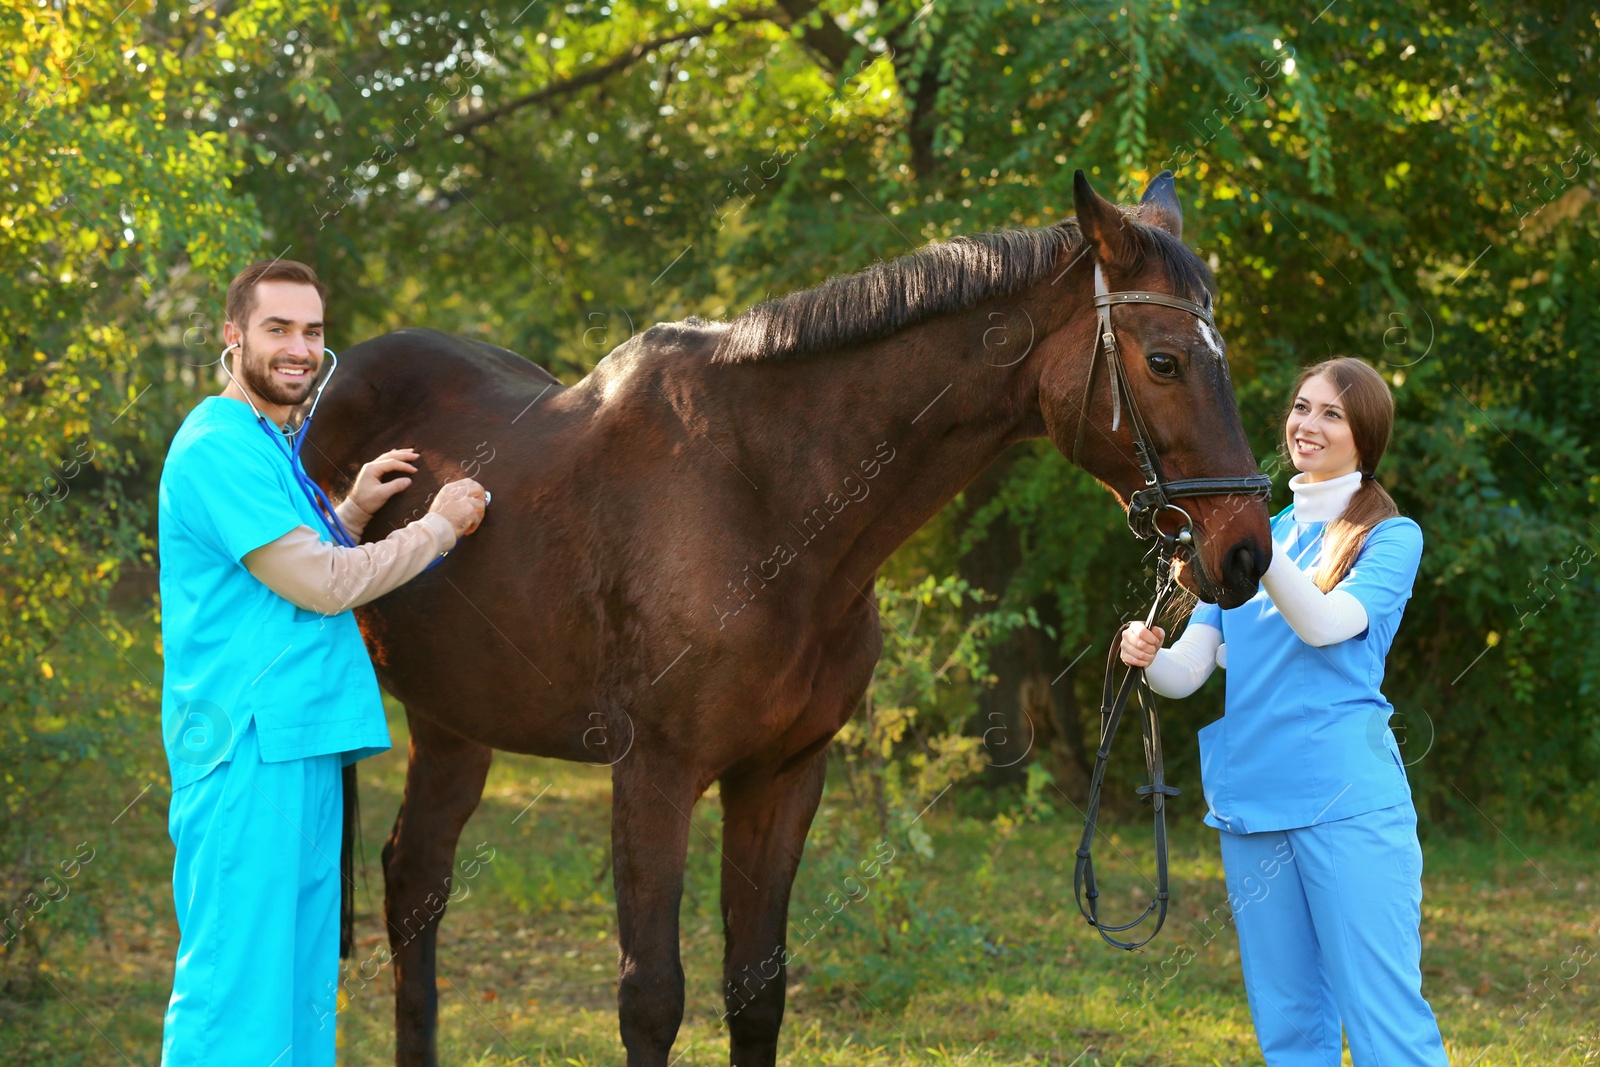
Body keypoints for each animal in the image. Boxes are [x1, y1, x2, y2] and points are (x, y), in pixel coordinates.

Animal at [300, 175, 1273, 1067]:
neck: (767, 500)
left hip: (454, 722)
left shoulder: (782, 775)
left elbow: (755, 988)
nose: (1244, 553)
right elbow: (651, 998)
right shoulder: (653, 776)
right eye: (1164, 361)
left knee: (414, 882)